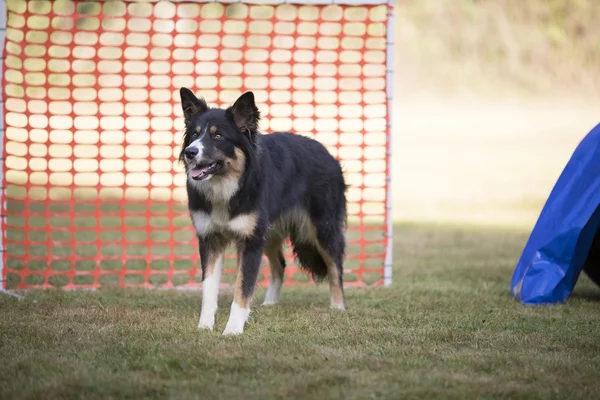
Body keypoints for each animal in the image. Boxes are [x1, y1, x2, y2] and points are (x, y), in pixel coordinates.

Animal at [178, 87, 346, 334]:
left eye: (218, 136)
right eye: (194, 135)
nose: (190, 152)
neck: (229, 186)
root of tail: (327, 153)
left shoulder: (250, 241)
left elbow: (243, 287)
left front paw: (233, 329)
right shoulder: (210, 239)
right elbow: (209, 288)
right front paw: (205, 326)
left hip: (322, 228)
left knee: (335, 266)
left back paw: (337, 306)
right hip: (270, 232)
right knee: (280, 265)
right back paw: (271, 303)